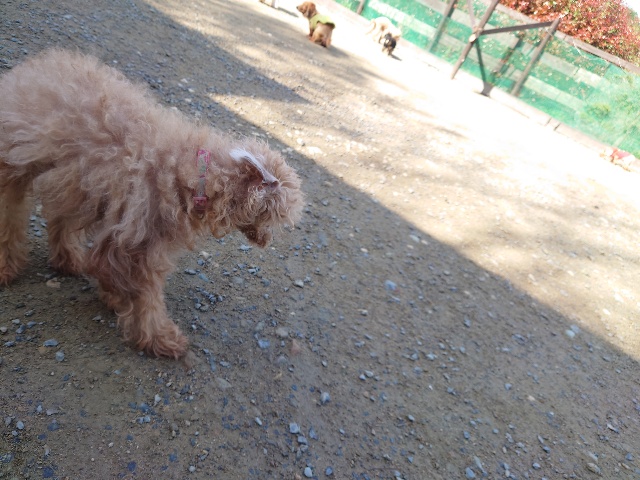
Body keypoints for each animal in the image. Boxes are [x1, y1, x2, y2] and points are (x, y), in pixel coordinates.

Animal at [0, 49, 304, 359]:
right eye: (276, 217)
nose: (267, 242)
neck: (192, 173)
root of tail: (34, 66)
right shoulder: (139, 244)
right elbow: (146, 299)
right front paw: (161, 339)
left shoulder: (122, 231)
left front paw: (113, 298)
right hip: (16, 166)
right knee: (10, 217)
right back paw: (7, 269)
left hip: (75, 184)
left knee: (61, 218)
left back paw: (69, 261)